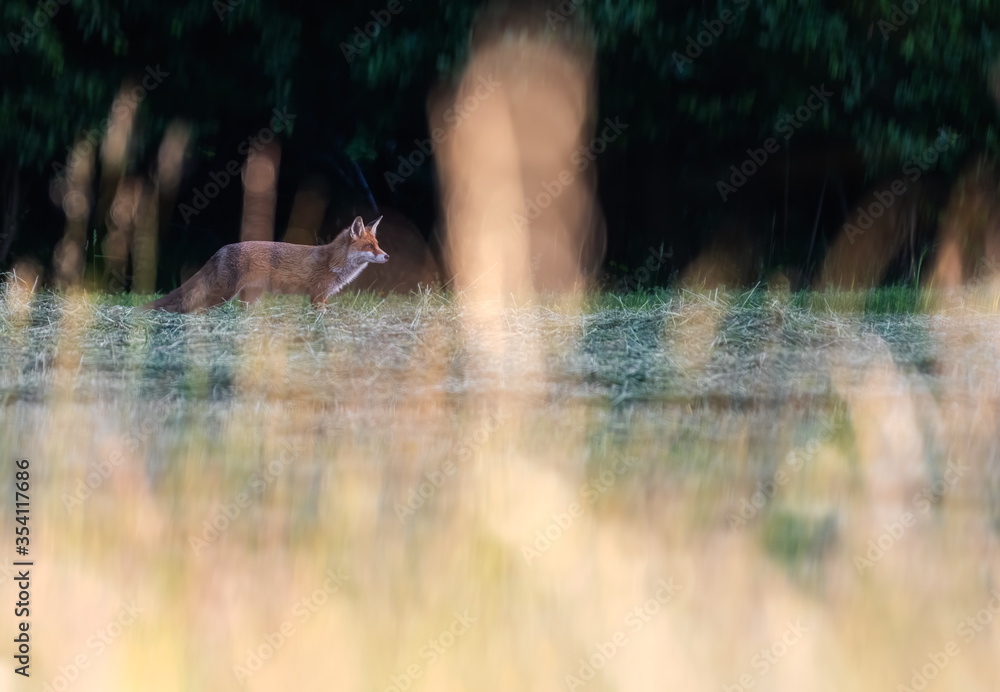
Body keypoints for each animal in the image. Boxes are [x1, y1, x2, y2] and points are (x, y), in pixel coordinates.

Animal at [145, 215, 389, 313]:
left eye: (377, 244)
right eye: (369, 246)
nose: (386, 256)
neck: (334, 262)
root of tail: (221, 249)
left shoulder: (324, 297)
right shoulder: (317, 295)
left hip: (250, 297)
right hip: (224, 295)